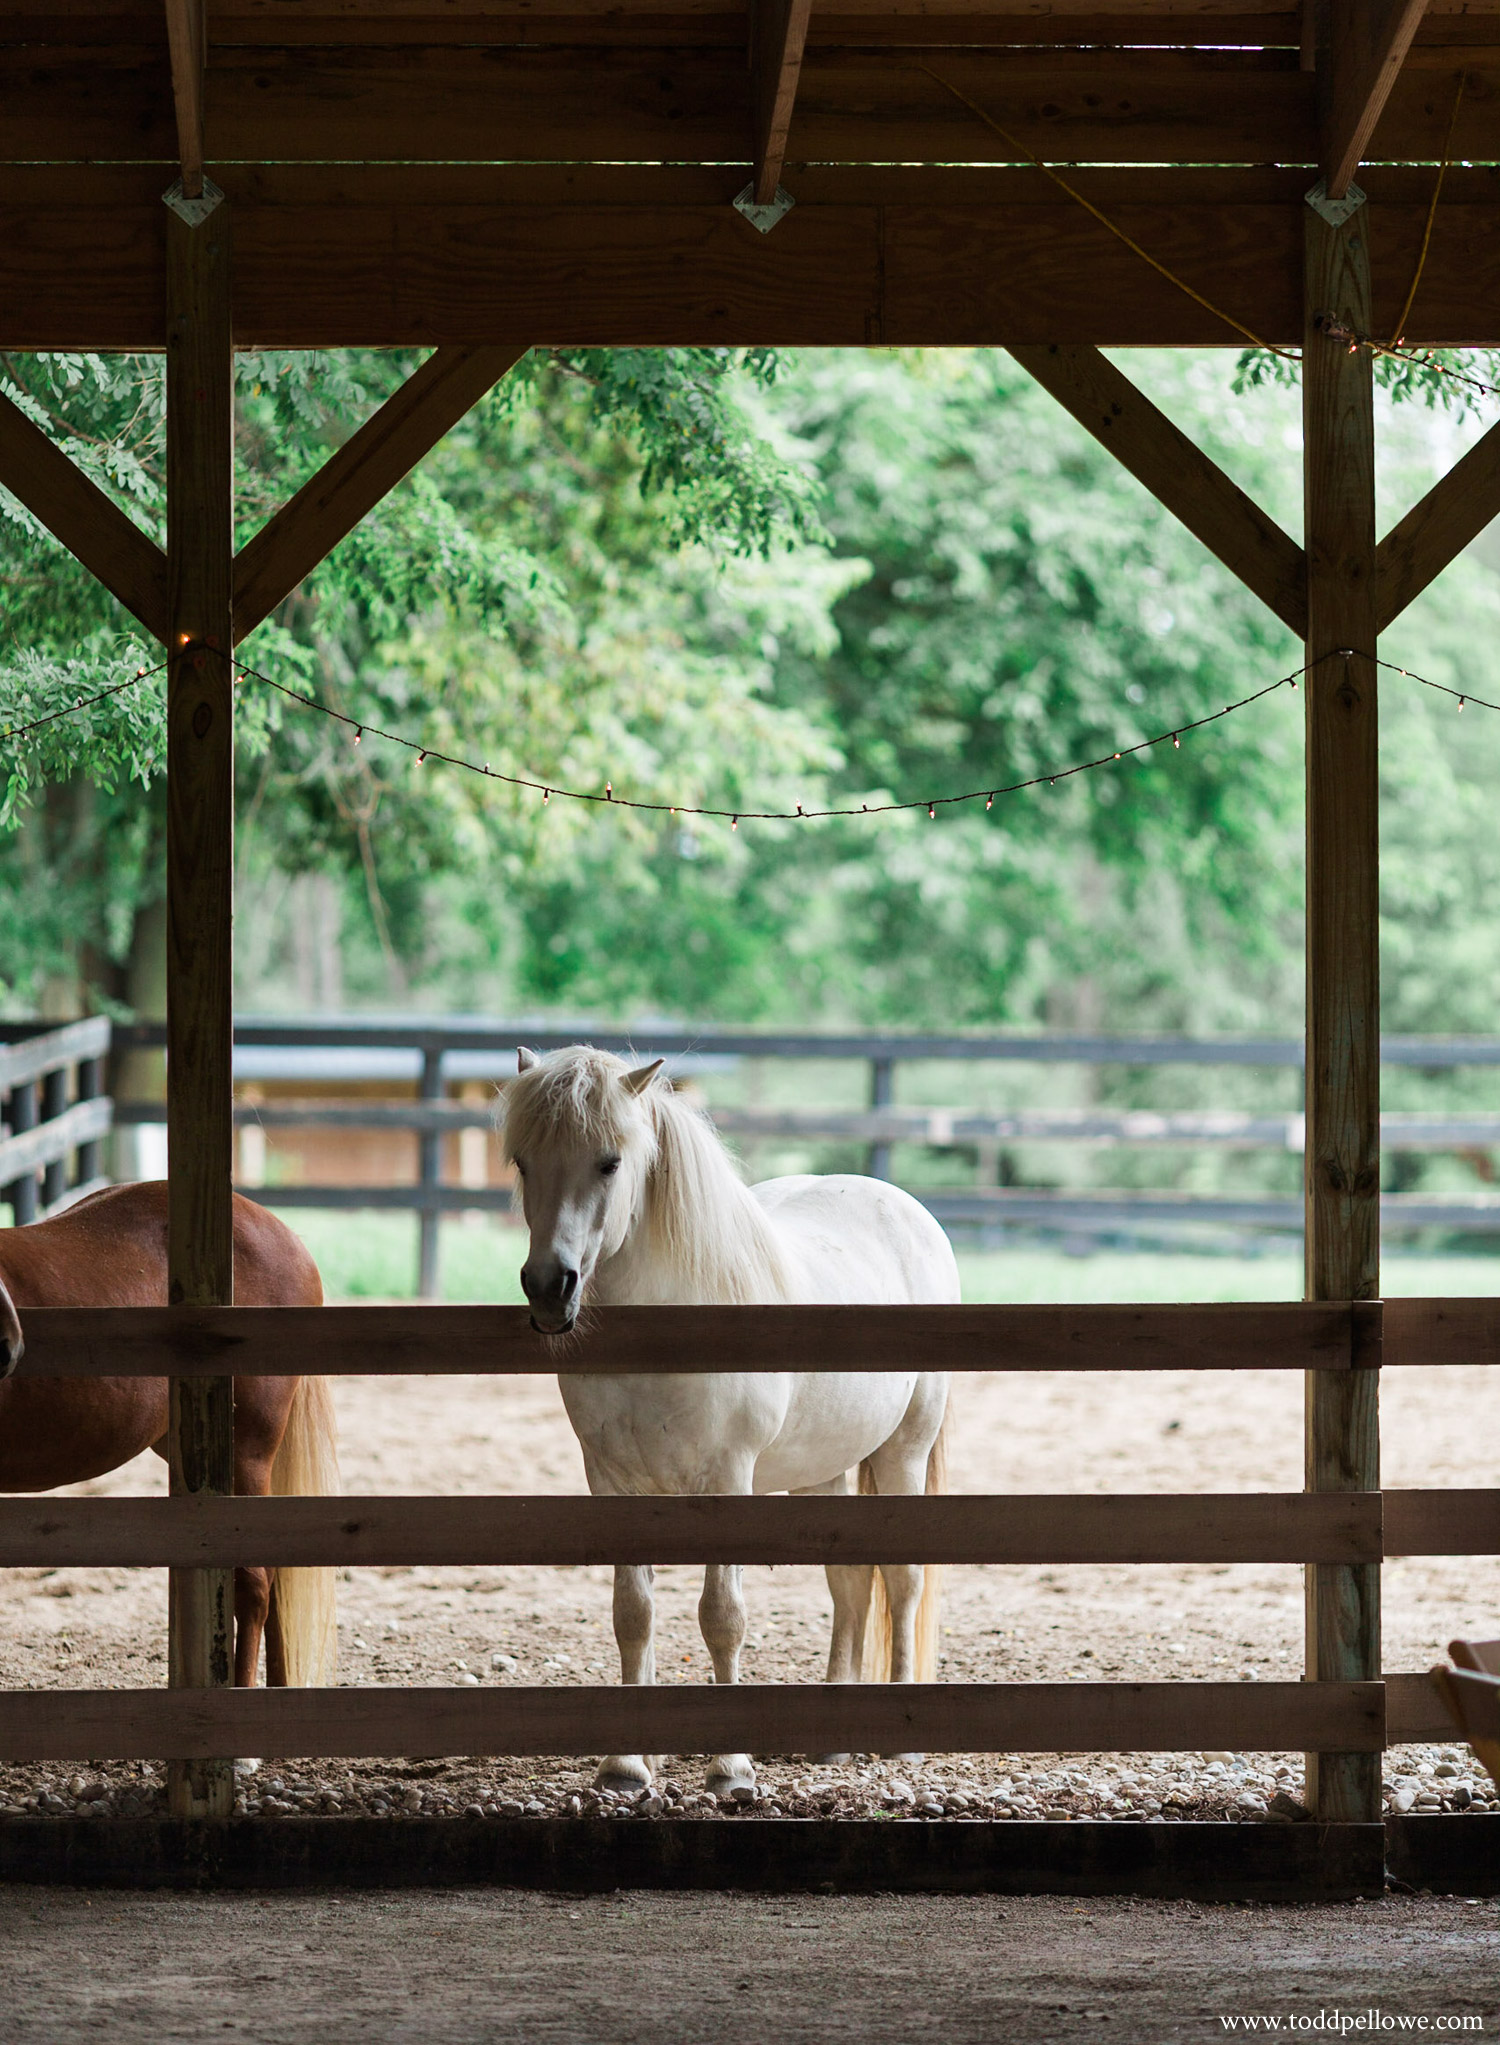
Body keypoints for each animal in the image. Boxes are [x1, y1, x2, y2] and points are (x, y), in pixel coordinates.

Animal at [497, 1047, 953, 1799]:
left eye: (610, 1161)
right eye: (522, 1161)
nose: (548, 1288)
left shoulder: (728, 1478)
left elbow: (722, 1617)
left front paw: (731, 1768)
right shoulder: (610, 1480)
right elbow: (633, 1613)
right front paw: (627, 1766)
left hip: (904, 1452)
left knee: (903, 1578)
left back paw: (901, 1742)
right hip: (823, 1469)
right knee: (851, 1582)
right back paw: (833, 1741)